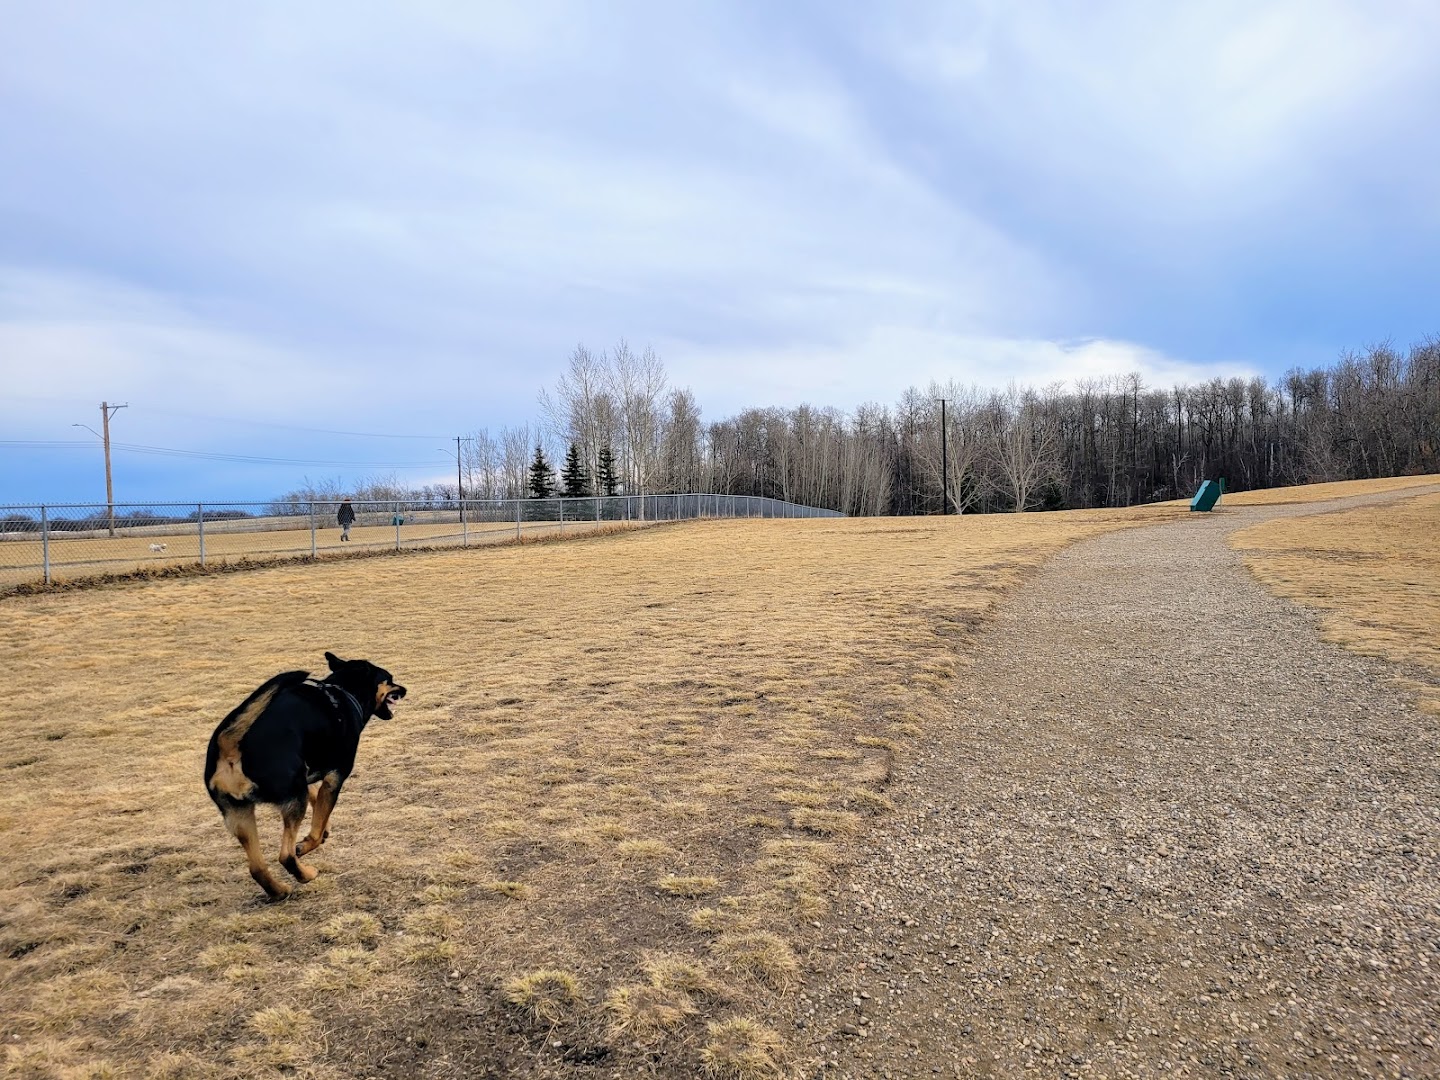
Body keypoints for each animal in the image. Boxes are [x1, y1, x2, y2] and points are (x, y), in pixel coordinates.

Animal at [204, 656, 406, 898]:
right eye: (389, 679)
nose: (404, 689)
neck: (343, 691)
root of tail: (231, 745)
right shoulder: (334, 778)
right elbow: (316, 828)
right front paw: (308, 843)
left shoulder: (304, 775)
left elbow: (318, 804)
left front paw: (325, 827)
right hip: (293, 801)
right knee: (286, 856)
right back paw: (306, 874)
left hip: (239, 813)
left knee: (257, 867)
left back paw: (279, 891)